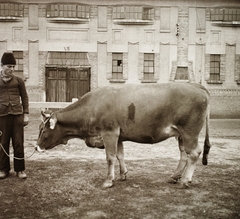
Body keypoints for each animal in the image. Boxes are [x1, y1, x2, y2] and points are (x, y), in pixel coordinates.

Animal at [36, 83, 211, 189]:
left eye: (43, 130)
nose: (36, 147)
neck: (92, 106)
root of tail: (195, 85)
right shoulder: (119, 136)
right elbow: (120, 155)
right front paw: (122, 175)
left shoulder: (109, 132)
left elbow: (110, 157)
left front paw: (108, 180)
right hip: (180, 134)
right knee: (184, 154)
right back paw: (174, 177)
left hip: (189, 131)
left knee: (194, 153)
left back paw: (184, 181)